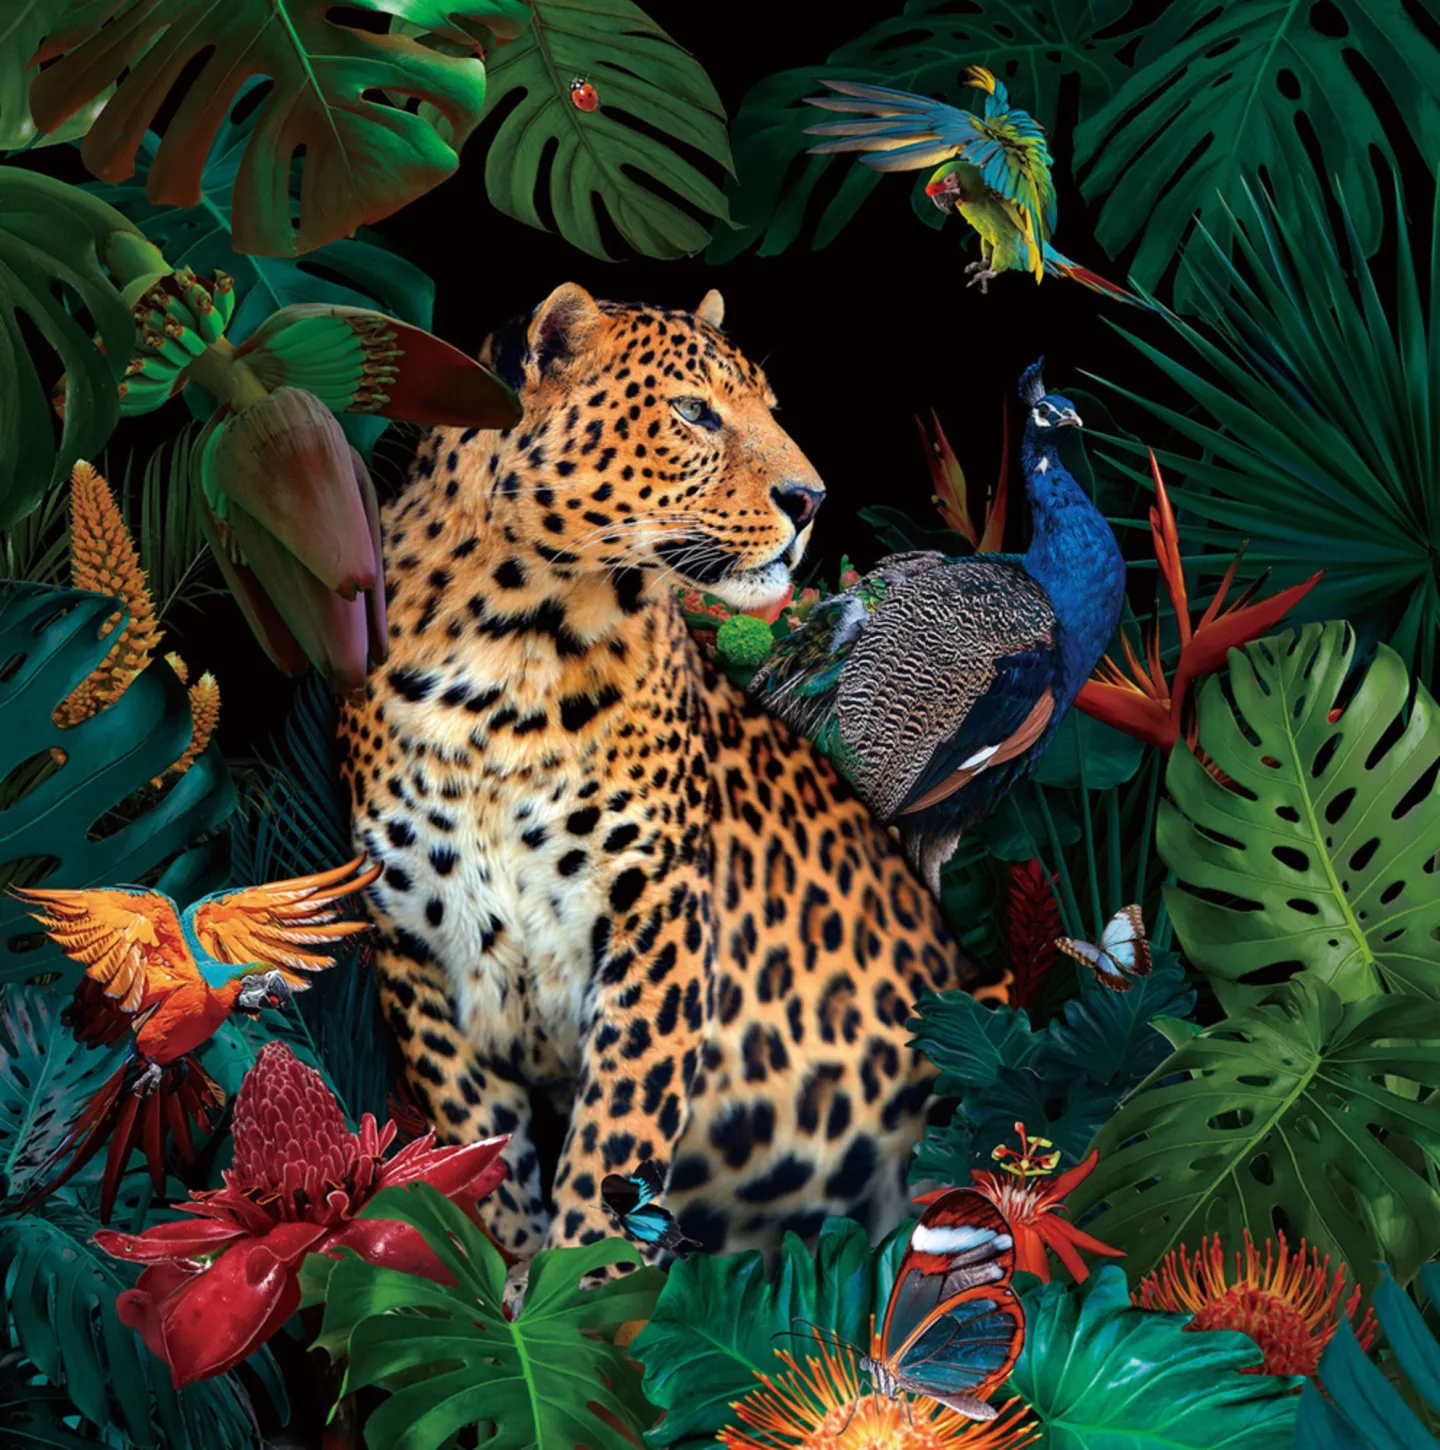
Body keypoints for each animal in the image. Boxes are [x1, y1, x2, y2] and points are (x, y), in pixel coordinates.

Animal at [336, 282, 987, 1285]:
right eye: (693, 412)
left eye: (770, 407)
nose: (811, 498)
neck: (509, 650)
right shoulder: (411, 941)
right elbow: (478, 1137)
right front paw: (510, 1269)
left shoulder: (658, 915)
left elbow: (618, 1136)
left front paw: (582, 1279)